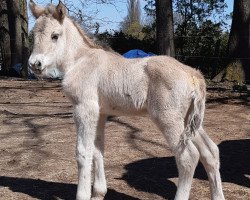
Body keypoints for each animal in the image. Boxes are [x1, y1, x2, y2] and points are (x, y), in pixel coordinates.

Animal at [28, 1, 225, 200]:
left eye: (55, 36)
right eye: (33, 35)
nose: (34, 64)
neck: (79, 61)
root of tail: (194, 74)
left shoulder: (84, 108)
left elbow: (83, 152)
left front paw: (83, 195)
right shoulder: (100, 112)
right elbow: (98, 149)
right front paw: (98, 193)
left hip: (168, 119)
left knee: (188, 157)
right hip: (189, 120)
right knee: (210, 152)